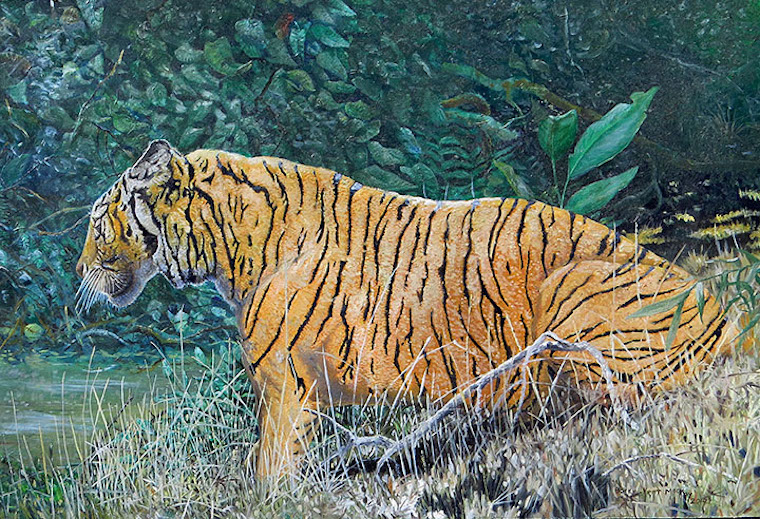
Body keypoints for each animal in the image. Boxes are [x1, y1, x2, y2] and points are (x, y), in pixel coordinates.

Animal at [76, 140, 740, 477]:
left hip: (575, 292)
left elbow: (269, 468)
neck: (225, 246)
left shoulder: (285, 386)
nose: (78, 271)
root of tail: (726, 315)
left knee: (617, 404)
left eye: (97, 220)